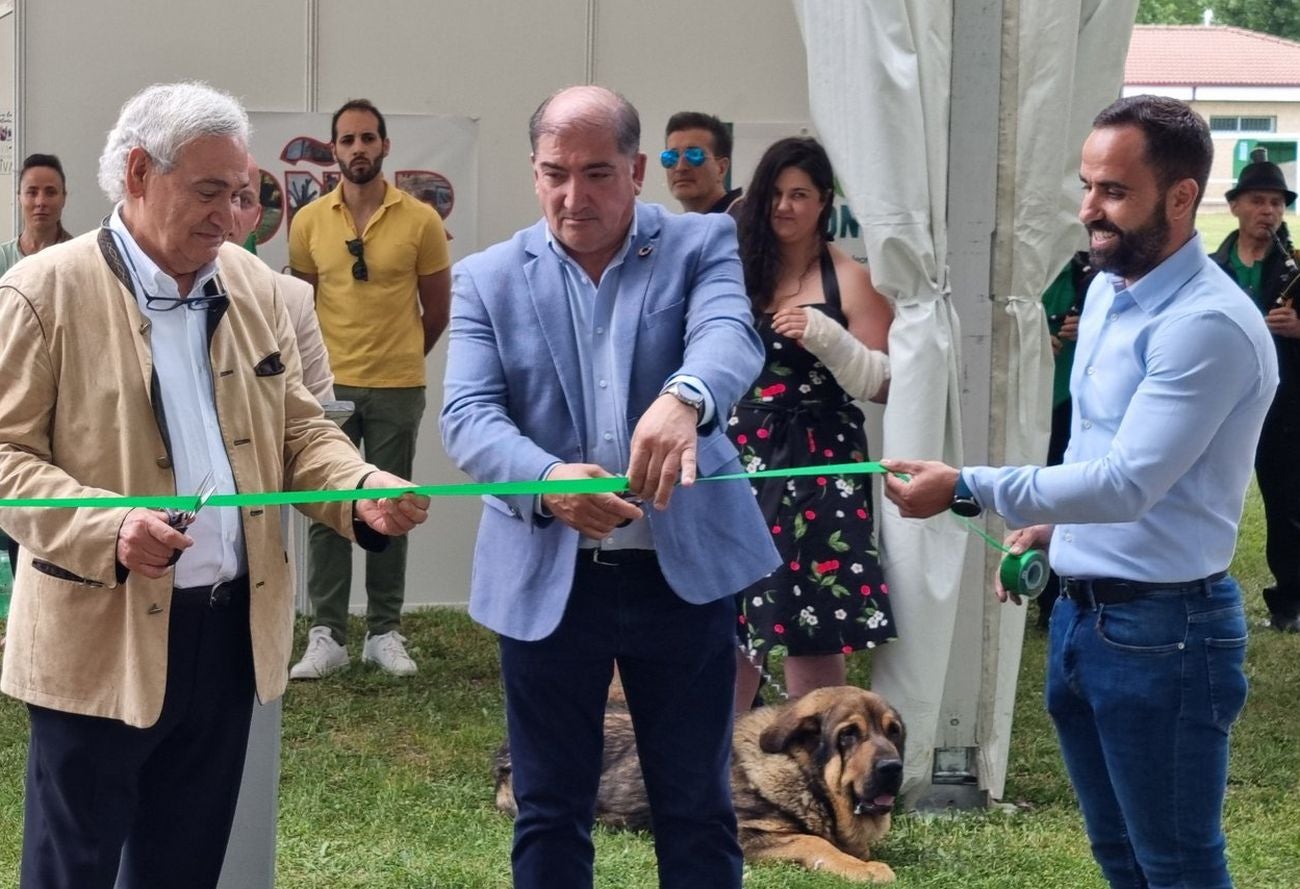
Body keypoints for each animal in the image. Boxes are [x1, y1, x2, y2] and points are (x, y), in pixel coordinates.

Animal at [488, 686, 904, 878]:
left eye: (893, 731)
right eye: (848, 735)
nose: (893, 768)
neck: (800, 772)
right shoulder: (744, 835)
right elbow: (813, 840)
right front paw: (865, 868)